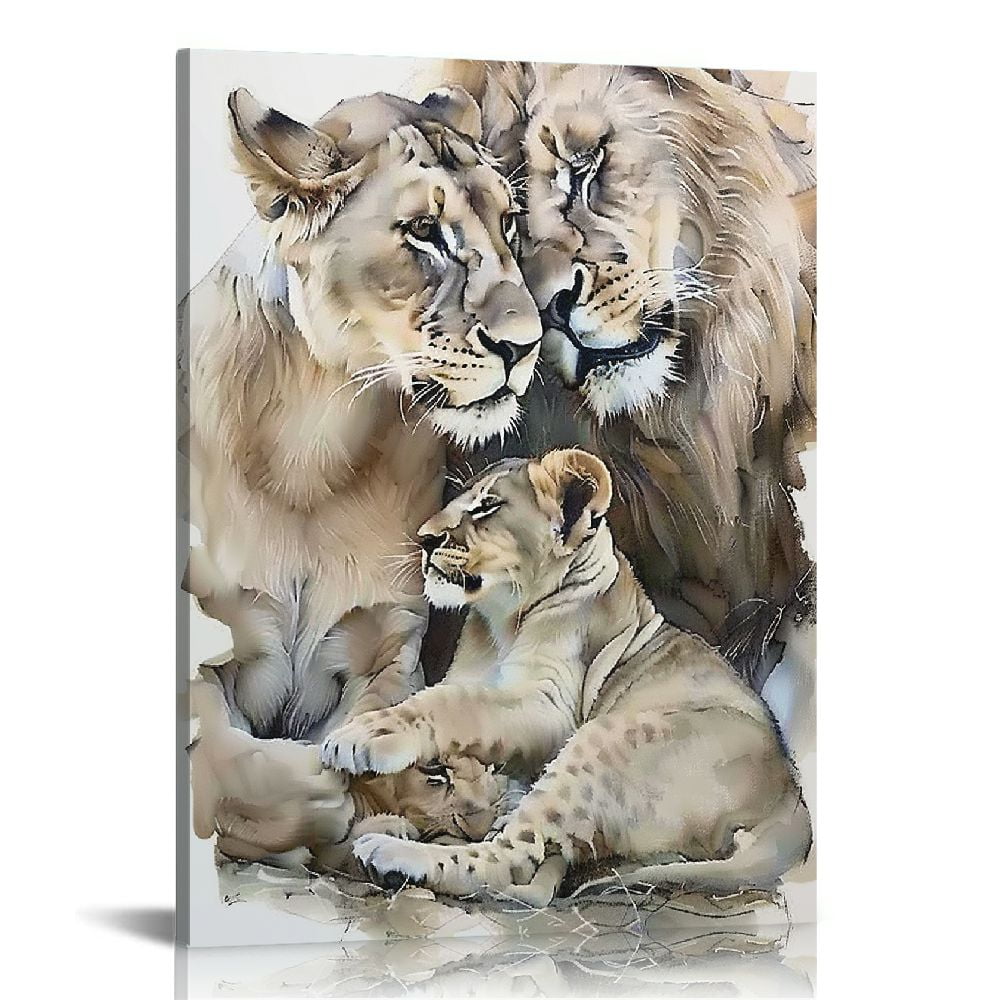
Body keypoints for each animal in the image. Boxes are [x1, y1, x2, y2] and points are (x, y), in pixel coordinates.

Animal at [181, 84, 542, 741]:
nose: (524, 345)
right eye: (424, 230)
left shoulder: (387, 649)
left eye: (507, 221)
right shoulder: (208, 661)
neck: (311, 449)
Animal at [321, 449, 811, 905]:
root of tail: (794, 802)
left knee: (513, 864)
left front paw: (360, 737)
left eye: (486, 507)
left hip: (607, 737)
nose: (423, 539)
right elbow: (439, 703)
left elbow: (452, 704)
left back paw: (392, 854)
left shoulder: (552, 709)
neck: (500, 623)